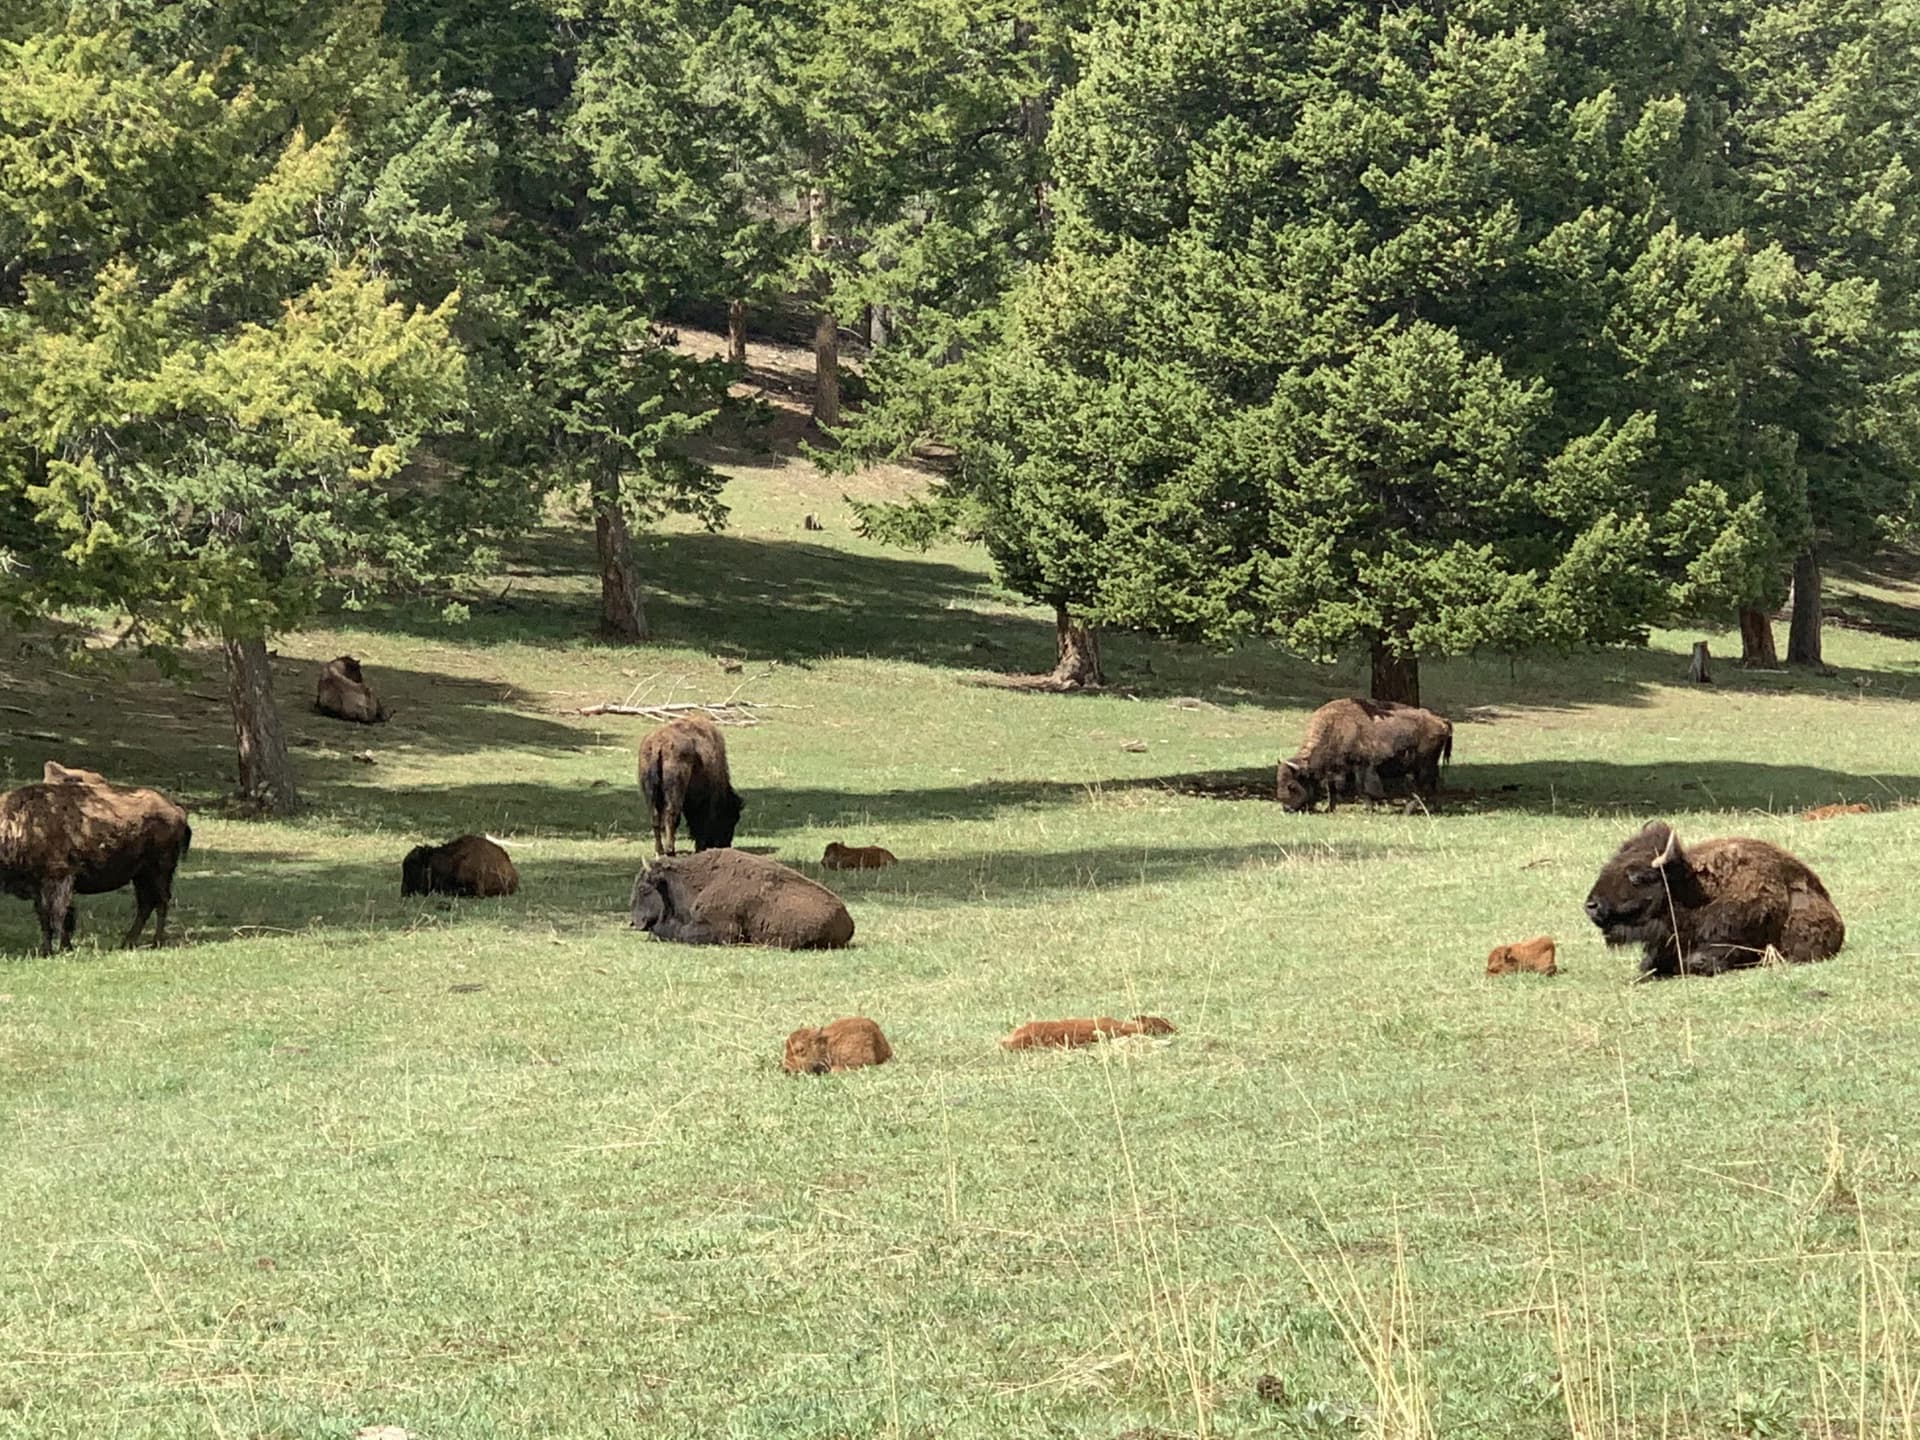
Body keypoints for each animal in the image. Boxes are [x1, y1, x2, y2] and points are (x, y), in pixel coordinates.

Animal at [1, 764, 192, 954]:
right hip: (141, 875)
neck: (20, 823)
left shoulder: (59, 878)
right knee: (147, 904)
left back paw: (155, 942)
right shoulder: (39, 886)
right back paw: (127, 943)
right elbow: (45, 916)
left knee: (160, 901)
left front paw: (63, 948)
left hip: (159, 870)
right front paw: (47, 951)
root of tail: (176, 809)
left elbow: (58, 915)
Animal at [637, 714, 743, 855]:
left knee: (655, 817)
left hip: (650, 790)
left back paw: (660, 851)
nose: (726, 844)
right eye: (731, 818)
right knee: (671, 815)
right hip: (674, 791)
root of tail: (659, 744)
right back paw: (670, 850)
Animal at [1276, 698, 1453, 812]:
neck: (1335, 729)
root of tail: (1441, 721)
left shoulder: (1361, 767)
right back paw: (1433, 809)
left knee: (1423, 787)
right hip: (1423, 767)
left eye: (1292, 785)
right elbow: (1332, 789)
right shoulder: (1336, 770)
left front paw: (1369, 809)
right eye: (1279, 782)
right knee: (1432, 785)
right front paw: (1330, 809)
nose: (1287, 808)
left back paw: (1408, 811)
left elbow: (1362, 789)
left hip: (1424, 766)